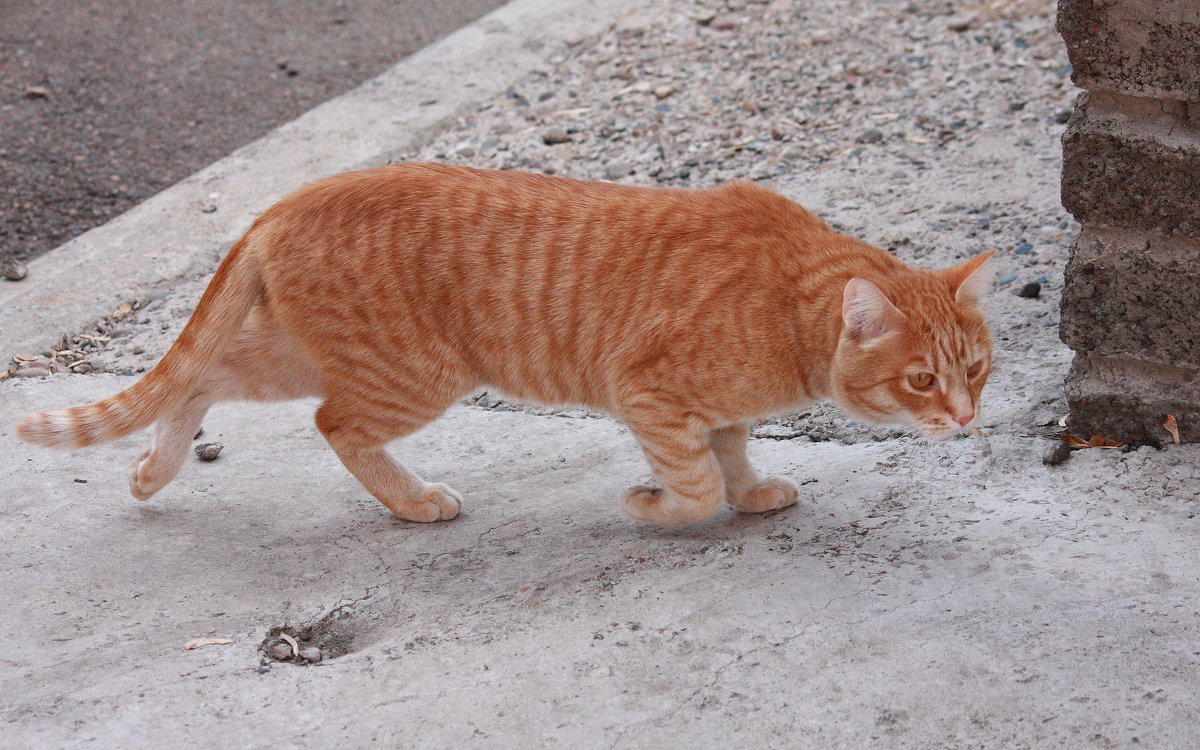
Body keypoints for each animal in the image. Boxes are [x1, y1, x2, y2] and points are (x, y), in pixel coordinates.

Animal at [16, 165, 993, 525]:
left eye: (978, 369)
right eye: (920, 380)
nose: (968, 420)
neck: (790, 302)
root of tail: (288, 199)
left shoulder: (708, 407)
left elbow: (732, 452)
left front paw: (752, 493)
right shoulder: (648, 393)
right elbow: (696, 479)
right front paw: (660, 507)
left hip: (309, 354)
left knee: (204, 377)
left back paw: (152, 473)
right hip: (410, 376)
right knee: (331, 423)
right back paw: (412, 502)